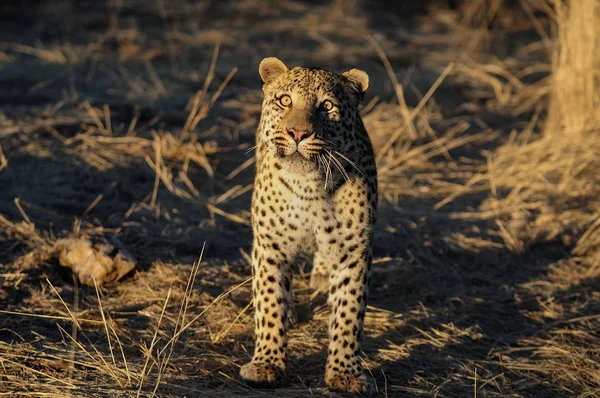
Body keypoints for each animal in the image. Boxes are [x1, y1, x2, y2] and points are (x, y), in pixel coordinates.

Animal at [240, 57, 378, 396]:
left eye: (326, 106)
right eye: (284, 100)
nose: (297, 133)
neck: (309, 189)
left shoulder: (354, 251)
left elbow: (349, 313)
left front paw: (345, 373)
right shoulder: (269, 245)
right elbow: (269, 302)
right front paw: (266, 364)